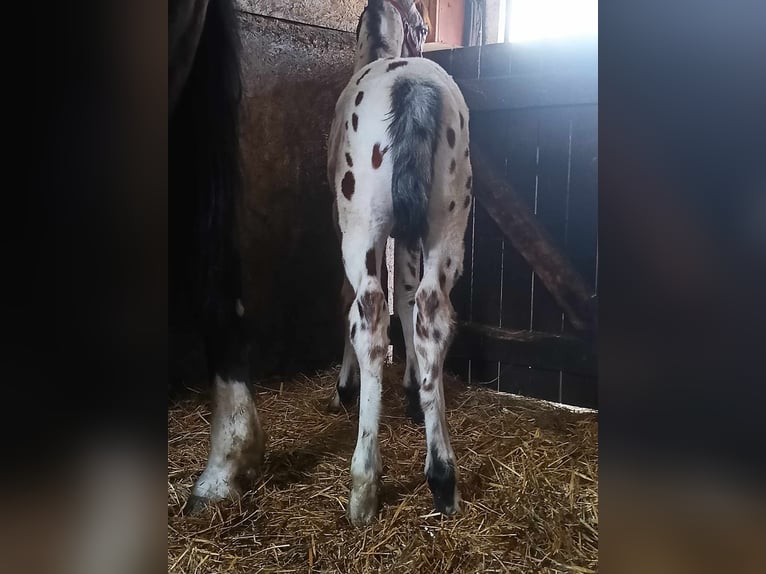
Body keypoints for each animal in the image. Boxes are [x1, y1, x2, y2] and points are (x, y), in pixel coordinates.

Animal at [326, 0, 472, 528]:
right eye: (423, 26)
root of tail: (412, 85)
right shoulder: (410, 239)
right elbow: (407, 303)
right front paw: (412, 393)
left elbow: (354, 302)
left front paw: (344, 388)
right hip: (446, 228)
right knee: (431, 313)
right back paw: (442, 478)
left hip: (362, 230)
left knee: (368, 316)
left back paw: (364, 486)